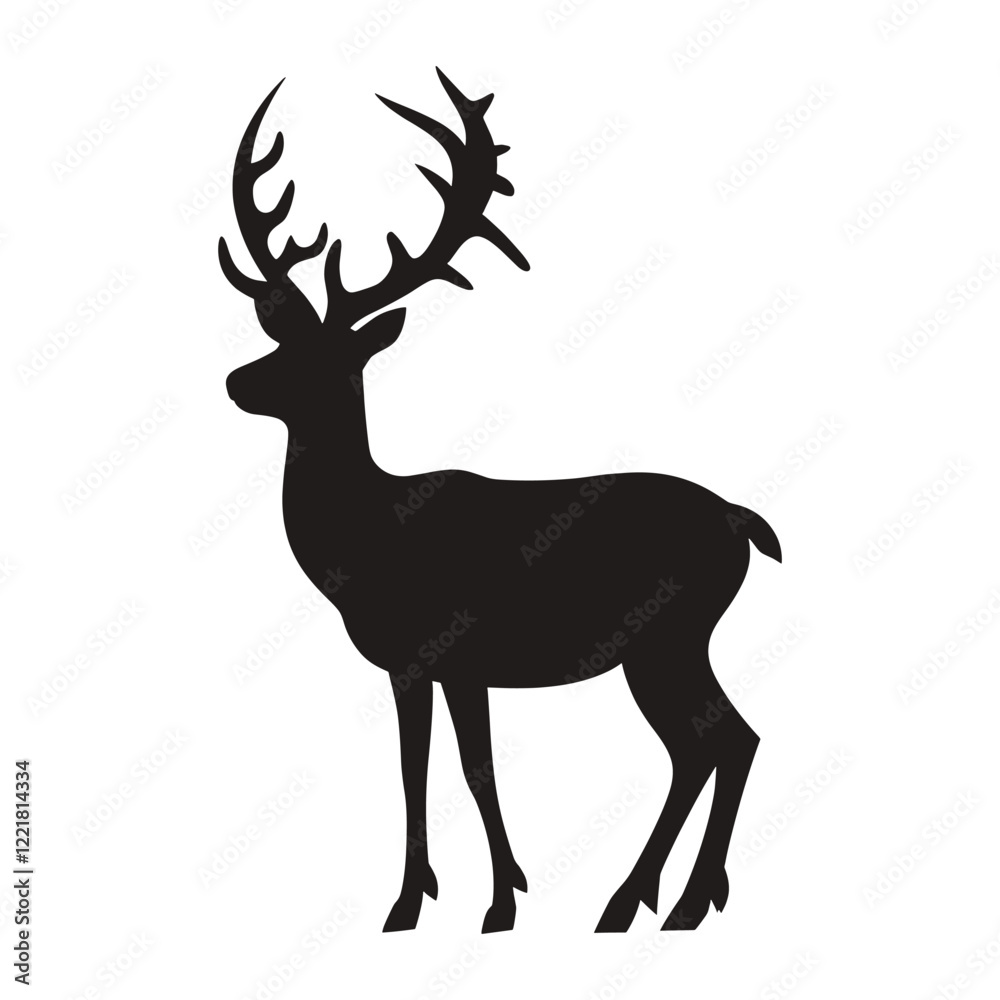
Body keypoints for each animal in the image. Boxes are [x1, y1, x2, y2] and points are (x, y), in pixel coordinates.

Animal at [218, 69, 781, 935]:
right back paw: (652, 901)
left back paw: (667, 903)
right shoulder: (449, 666)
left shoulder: (428, 650)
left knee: (722, 741)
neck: (367, 543)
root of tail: (742, 524)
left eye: (333, 355)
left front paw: (436, 905)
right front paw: (491, 893)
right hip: (671, 644)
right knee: (713, 745)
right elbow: (457, 764)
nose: (236, 381)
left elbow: (437, 766)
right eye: (283, 340)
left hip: (671, 635)